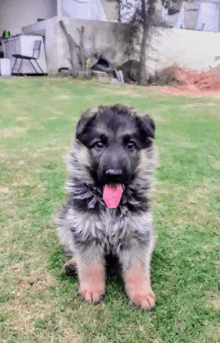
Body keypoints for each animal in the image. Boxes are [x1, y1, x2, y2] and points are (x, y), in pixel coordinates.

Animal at [55, 105, 158, 312]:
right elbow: (90, 265)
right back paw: (72, 264)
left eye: (130, 144)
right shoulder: (85, 231)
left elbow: (137, 268)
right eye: (99, 144)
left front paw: (141, 294)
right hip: (64, 220)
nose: (114, 175)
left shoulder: (137, 234)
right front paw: (92, 289)